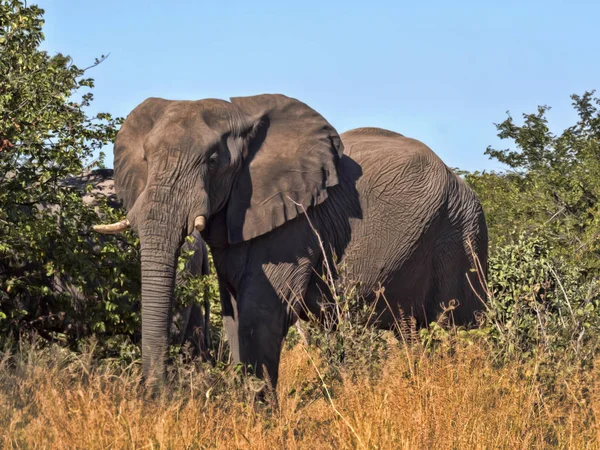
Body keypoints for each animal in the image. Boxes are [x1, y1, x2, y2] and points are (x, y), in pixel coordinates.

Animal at [92, 94, 488, 386]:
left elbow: (259, 315)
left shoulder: (295, 223)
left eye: (213, 161)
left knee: (460, 326)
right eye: (146, 158)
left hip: (462, 233)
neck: (241, 117)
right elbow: (234, 315)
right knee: (411, 332)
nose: (156, 395)